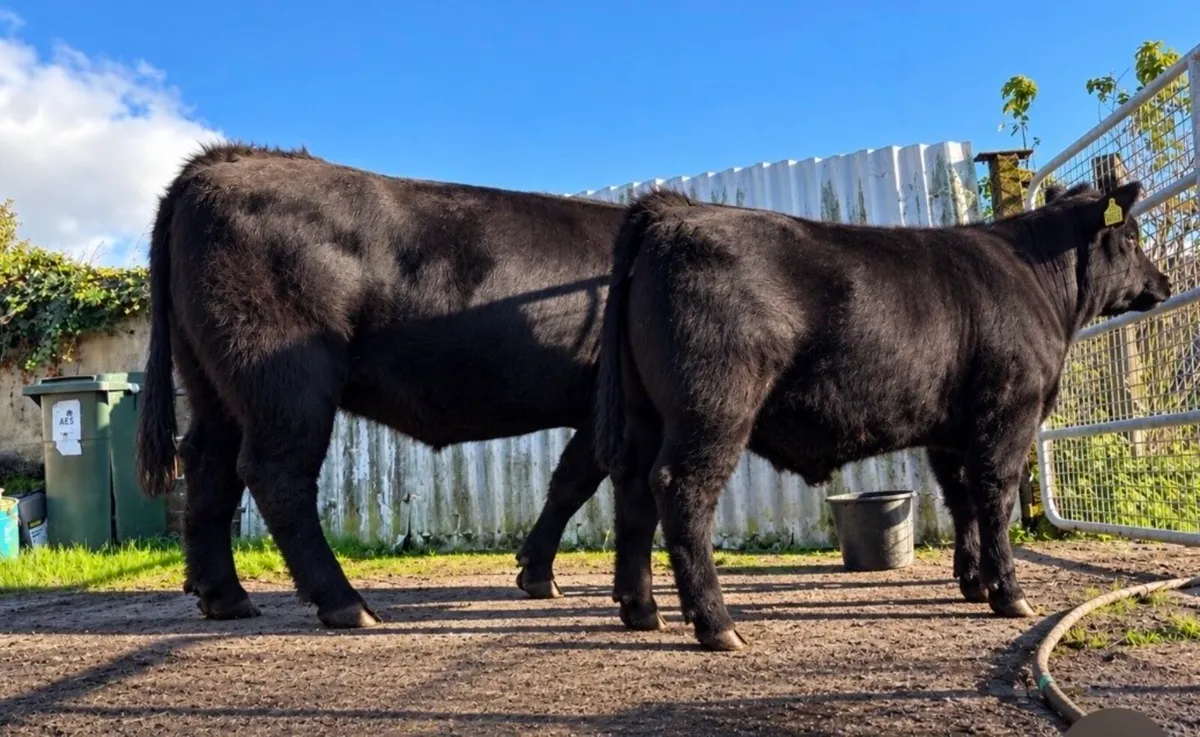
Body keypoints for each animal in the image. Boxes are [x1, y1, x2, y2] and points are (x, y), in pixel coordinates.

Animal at [135, 141, 631, 628]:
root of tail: (225, 160)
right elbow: (579, 481)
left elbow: (568, 481)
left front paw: (536, 572)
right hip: (287, 382)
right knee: (275, 473)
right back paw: (344, 603)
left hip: (215, 386)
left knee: (210, 467)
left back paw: (226, 597)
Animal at [592, 182, 1172, 652]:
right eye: (1132, 237)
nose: (1164, 282)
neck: (1037, 280)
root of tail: (675, 211)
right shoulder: (1010, 410)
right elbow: (994, 495)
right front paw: (1008, 593)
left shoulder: (951, 433)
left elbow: (961, 499)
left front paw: (973, 582)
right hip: (713, 407)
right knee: (681, 490)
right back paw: (716, 624)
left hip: (645, 414)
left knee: (634, 492)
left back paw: (642, 610)